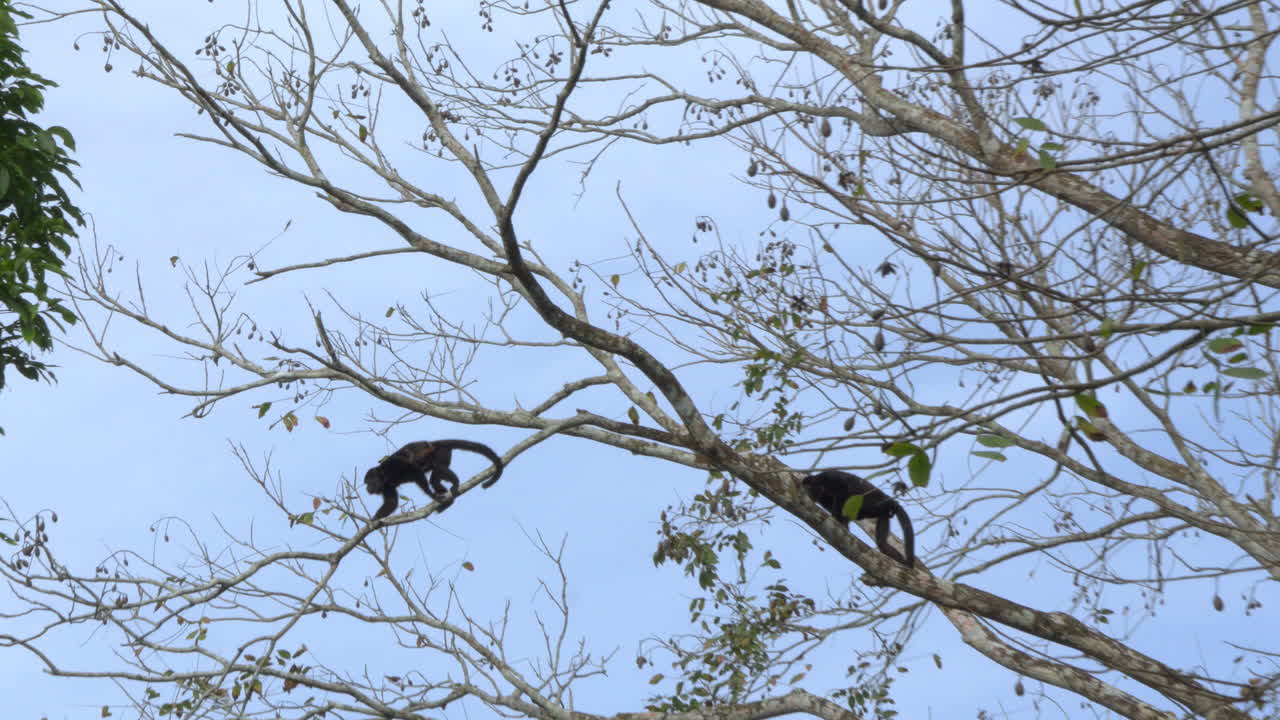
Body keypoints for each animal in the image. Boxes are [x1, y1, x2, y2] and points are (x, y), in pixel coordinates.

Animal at [364, 440, 504, 521]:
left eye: (370, 481)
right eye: (367, 483)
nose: (367, 488)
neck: (384, 476)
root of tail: (436, 443)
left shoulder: (394, 465)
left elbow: (415, 470)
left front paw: (431, 495)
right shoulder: (387, 486)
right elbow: (392, 502)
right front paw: (374, 519)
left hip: (441, 453)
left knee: (438, 470)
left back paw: (455, 482)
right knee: (435, 478)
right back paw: (447, 500)